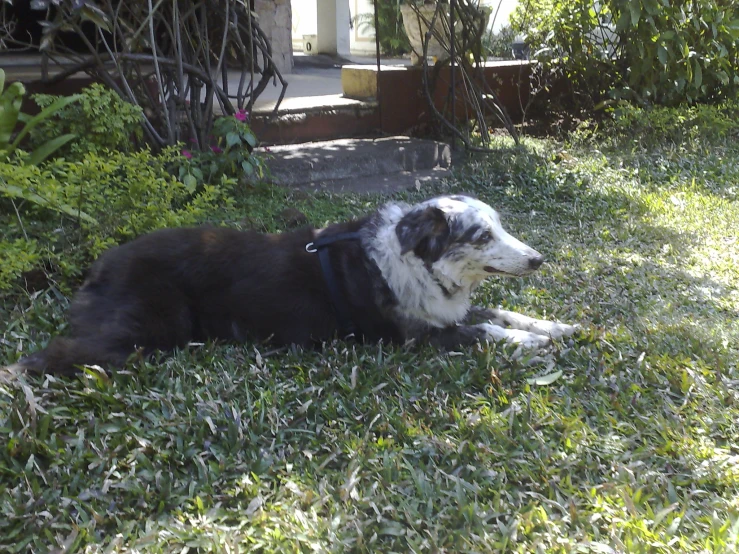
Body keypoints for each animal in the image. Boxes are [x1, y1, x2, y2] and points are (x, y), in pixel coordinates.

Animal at [0, 193, 580, 376]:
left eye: (500, 227)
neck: (420, 261)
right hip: (149, 324)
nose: (538, 260)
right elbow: (487, 332)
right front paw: (532, 343)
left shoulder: (445, 312)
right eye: (482, 236)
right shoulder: (420, 338)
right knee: (56, 353)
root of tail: (100, 263)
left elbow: (498, 314)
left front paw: (557, 326)